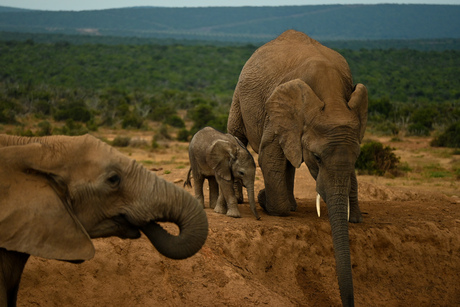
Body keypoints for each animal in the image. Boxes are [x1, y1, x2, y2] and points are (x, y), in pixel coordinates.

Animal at [228, 29, 368, 307]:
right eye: (316, 157)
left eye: (358, 157)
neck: (332, 97)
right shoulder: (279, 111)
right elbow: (270, 156)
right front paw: (266, 201)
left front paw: (355, 216)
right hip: (240, 94)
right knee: (237, 135)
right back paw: (242, 200)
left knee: (289, 161)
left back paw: (291, 204)